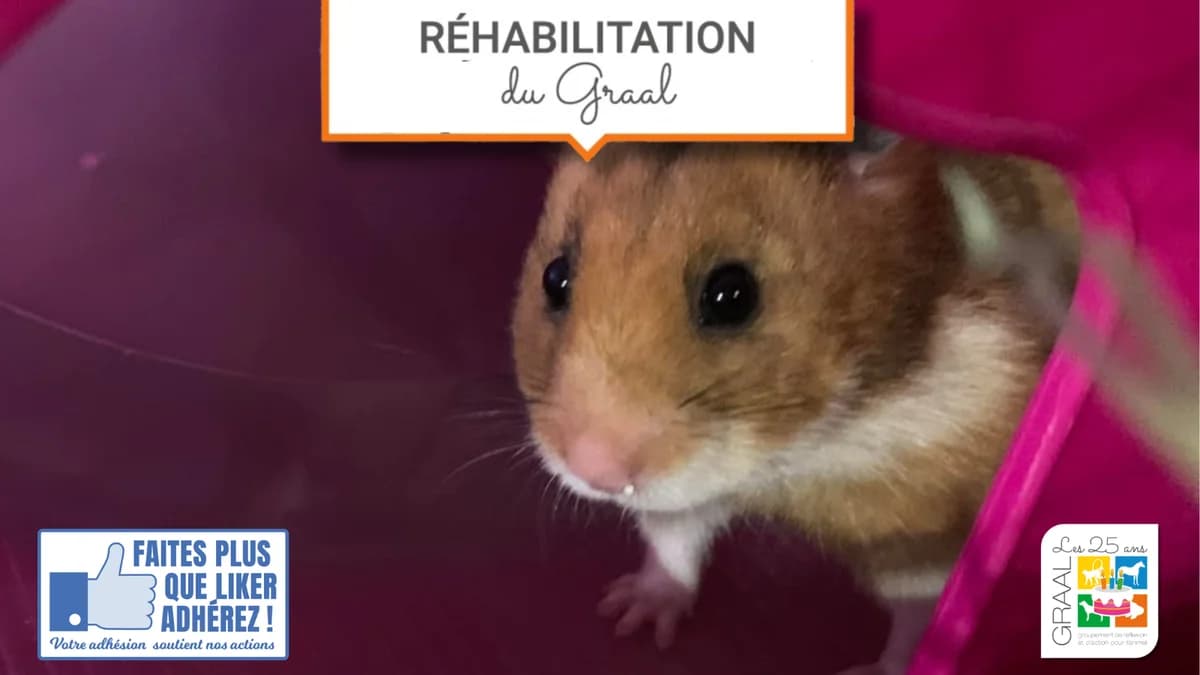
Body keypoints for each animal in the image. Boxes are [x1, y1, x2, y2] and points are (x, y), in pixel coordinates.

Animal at [510, 137, 1072, 674]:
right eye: (555, 278)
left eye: (732, 295)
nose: (594, 473)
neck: (798, 447)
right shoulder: (689, 491)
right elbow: (675, 543)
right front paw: (627, 618)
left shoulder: (921, 537)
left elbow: (922, 620)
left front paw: (871, 671)